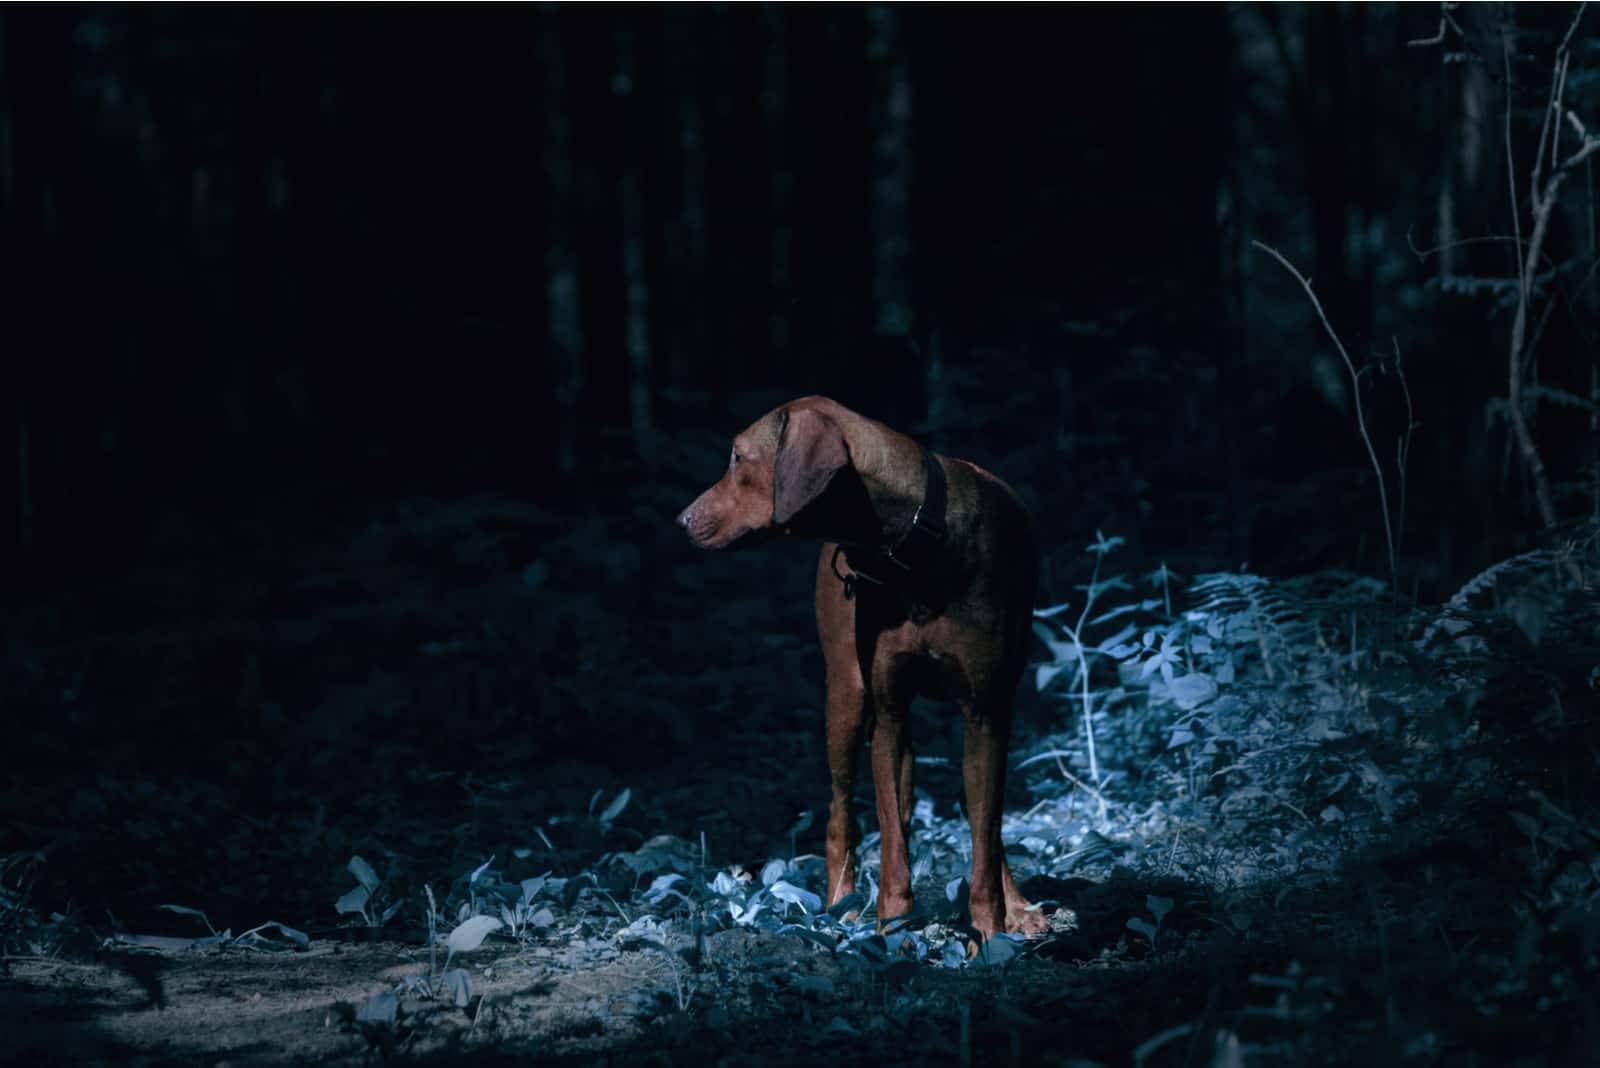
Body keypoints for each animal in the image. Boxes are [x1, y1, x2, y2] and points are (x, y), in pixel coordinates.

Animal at [678, 396, 1043, 940]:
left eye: (738, 457)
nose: (680, 520)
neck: (914, 544)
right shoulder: (887, 716)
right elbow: (890, 841)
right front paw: (890, 929)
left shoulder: (985, 716)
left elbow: (983, 837)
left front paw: (991, 934)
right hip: (848, 699)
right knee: (841, 817)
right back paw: (842, 904)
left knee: (979, 826)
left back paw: (1016, 906)